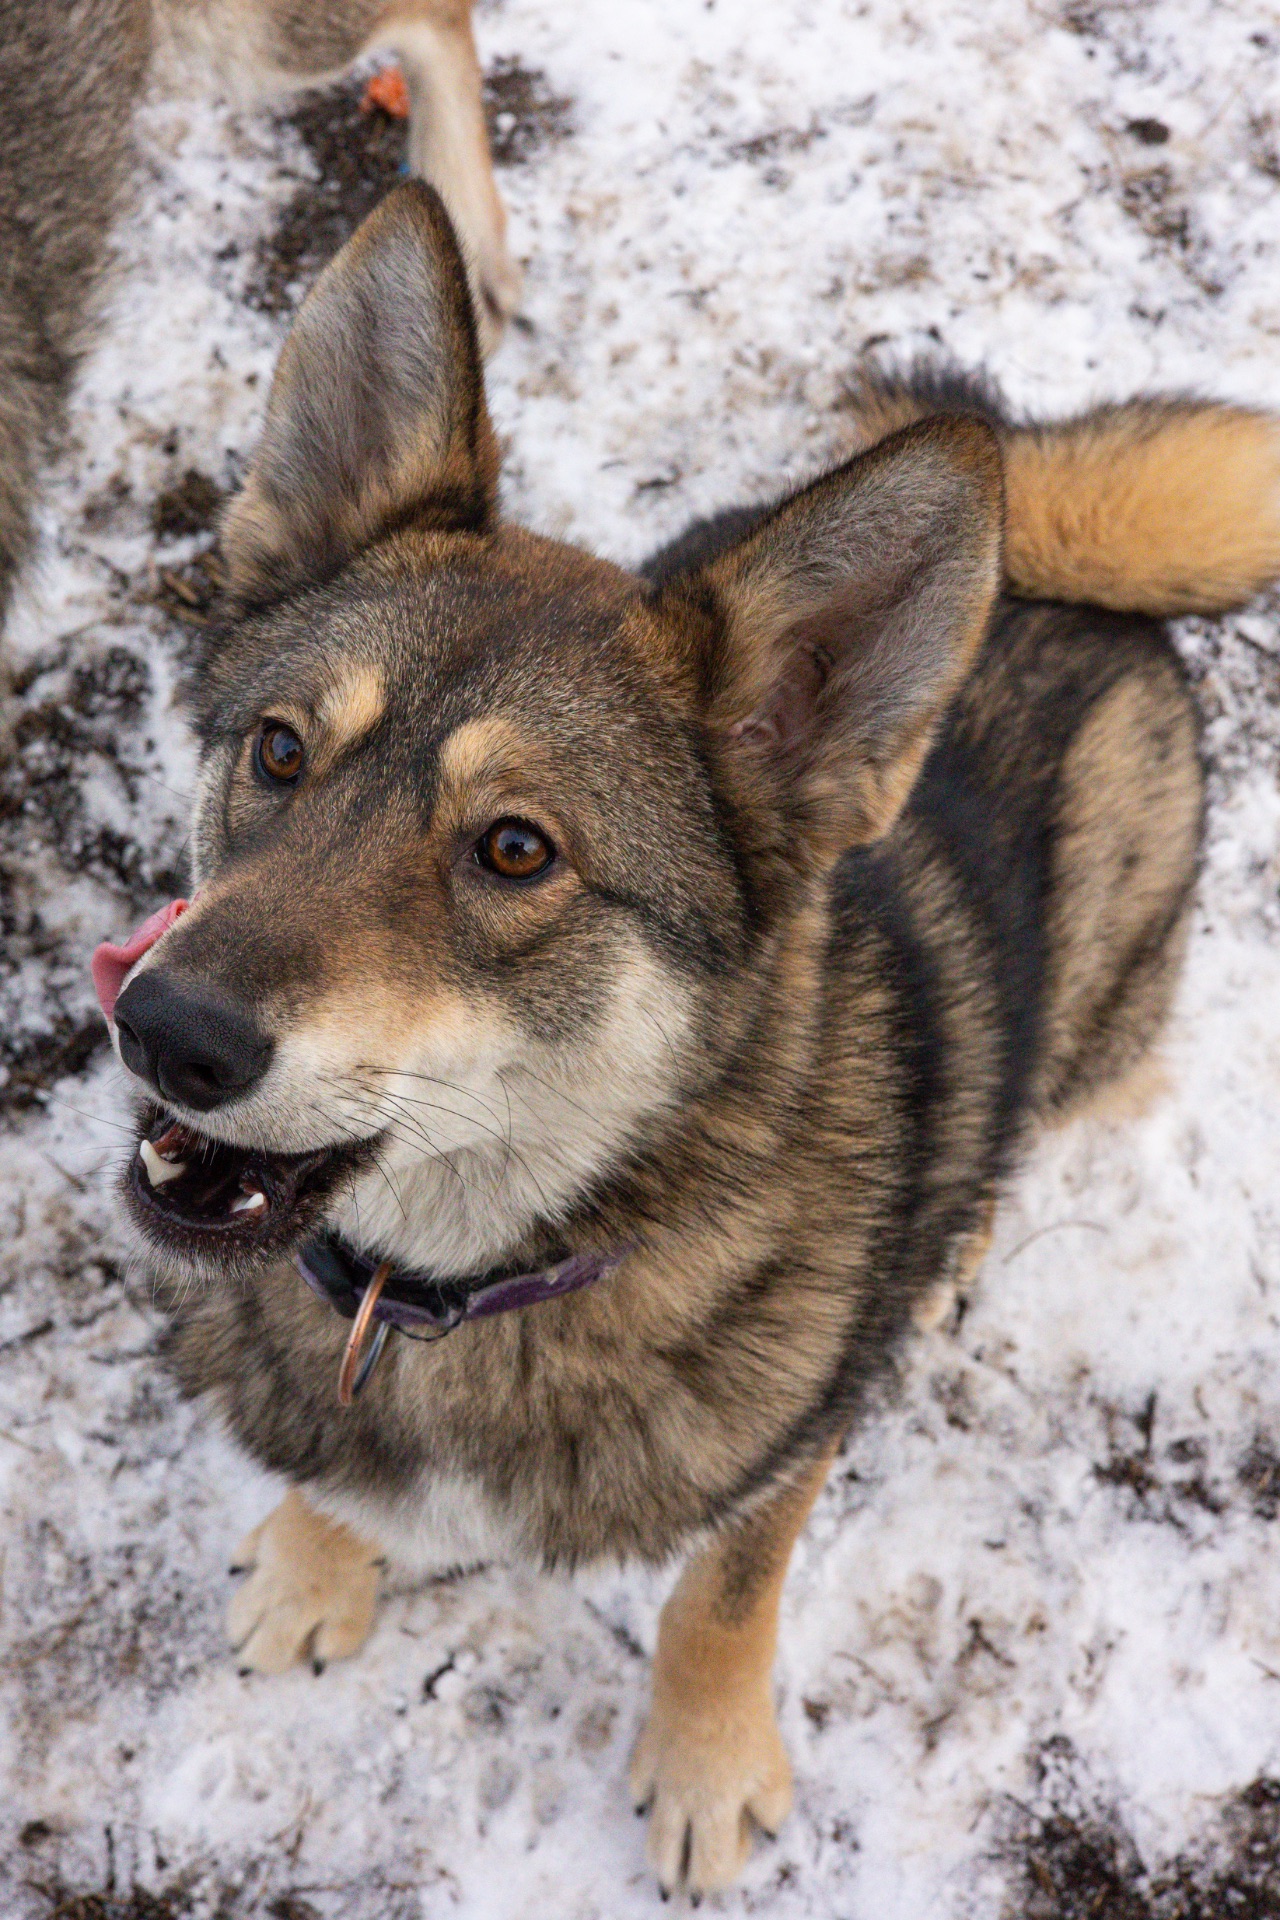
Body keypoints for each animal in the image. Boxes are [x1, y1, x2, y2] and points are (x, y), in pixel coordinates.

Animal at [94, 187, 1280, 1896]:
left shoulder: (789, 1442)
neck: (466, 1290)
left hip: (1099, 1005)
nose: (163, 1027)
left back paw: (958, 1236)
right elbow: (329, 1475)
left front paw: (707, 1767)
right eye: (276, 751)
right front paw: (321, 1565)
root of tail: (1046, 550)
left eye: (516, 850)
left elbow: (722, 1597)